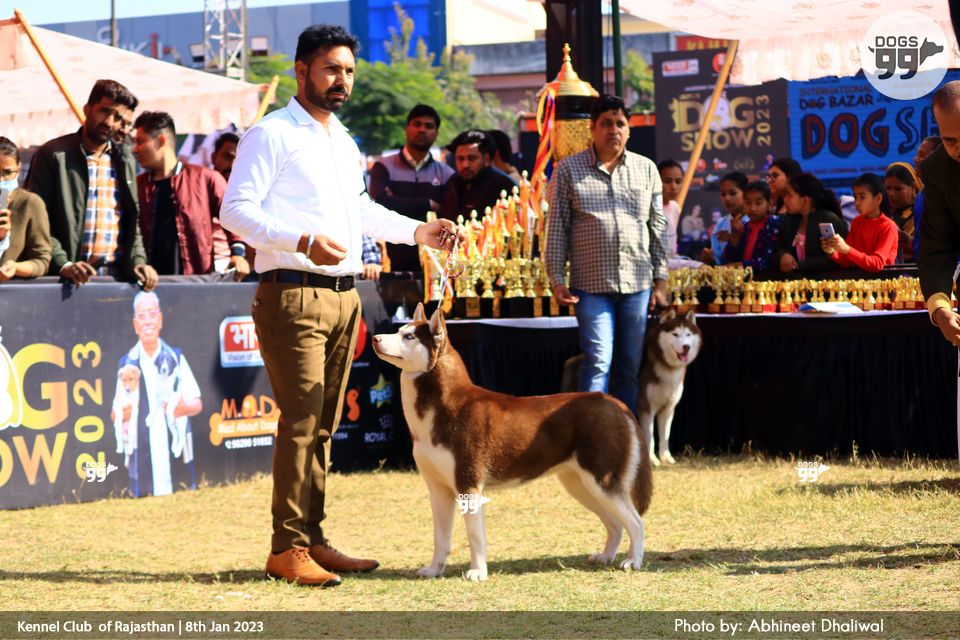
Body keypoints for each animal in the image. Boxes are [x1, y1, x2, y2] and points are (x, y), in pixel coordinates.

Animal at [372, 303, 652, 582]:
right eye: (399, 331)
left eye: (409, 337)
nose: (375, 338)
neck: (441, 407)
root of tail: (615, 402)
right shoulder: (438, 489)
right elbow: (440, 537)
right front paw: (434, 569)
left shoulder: (468, 484)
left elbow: (475, 536)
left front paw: (478, 571)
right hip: (580, 484)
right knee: (615, 523)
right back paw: (606, 556)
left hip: (602, 480)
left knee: (636, 522)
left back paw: (633, 561)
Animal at [561, 308, 702, 466]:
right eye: (675, 334)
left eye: (688, 334)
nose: (686, 347)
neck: (666, 366)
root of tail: (573, 360)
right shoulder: (646, 407)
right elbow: (650, 436)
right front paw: (652, 459)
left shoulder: (668, 408)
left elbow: (665, 435)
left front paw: (666, 458)